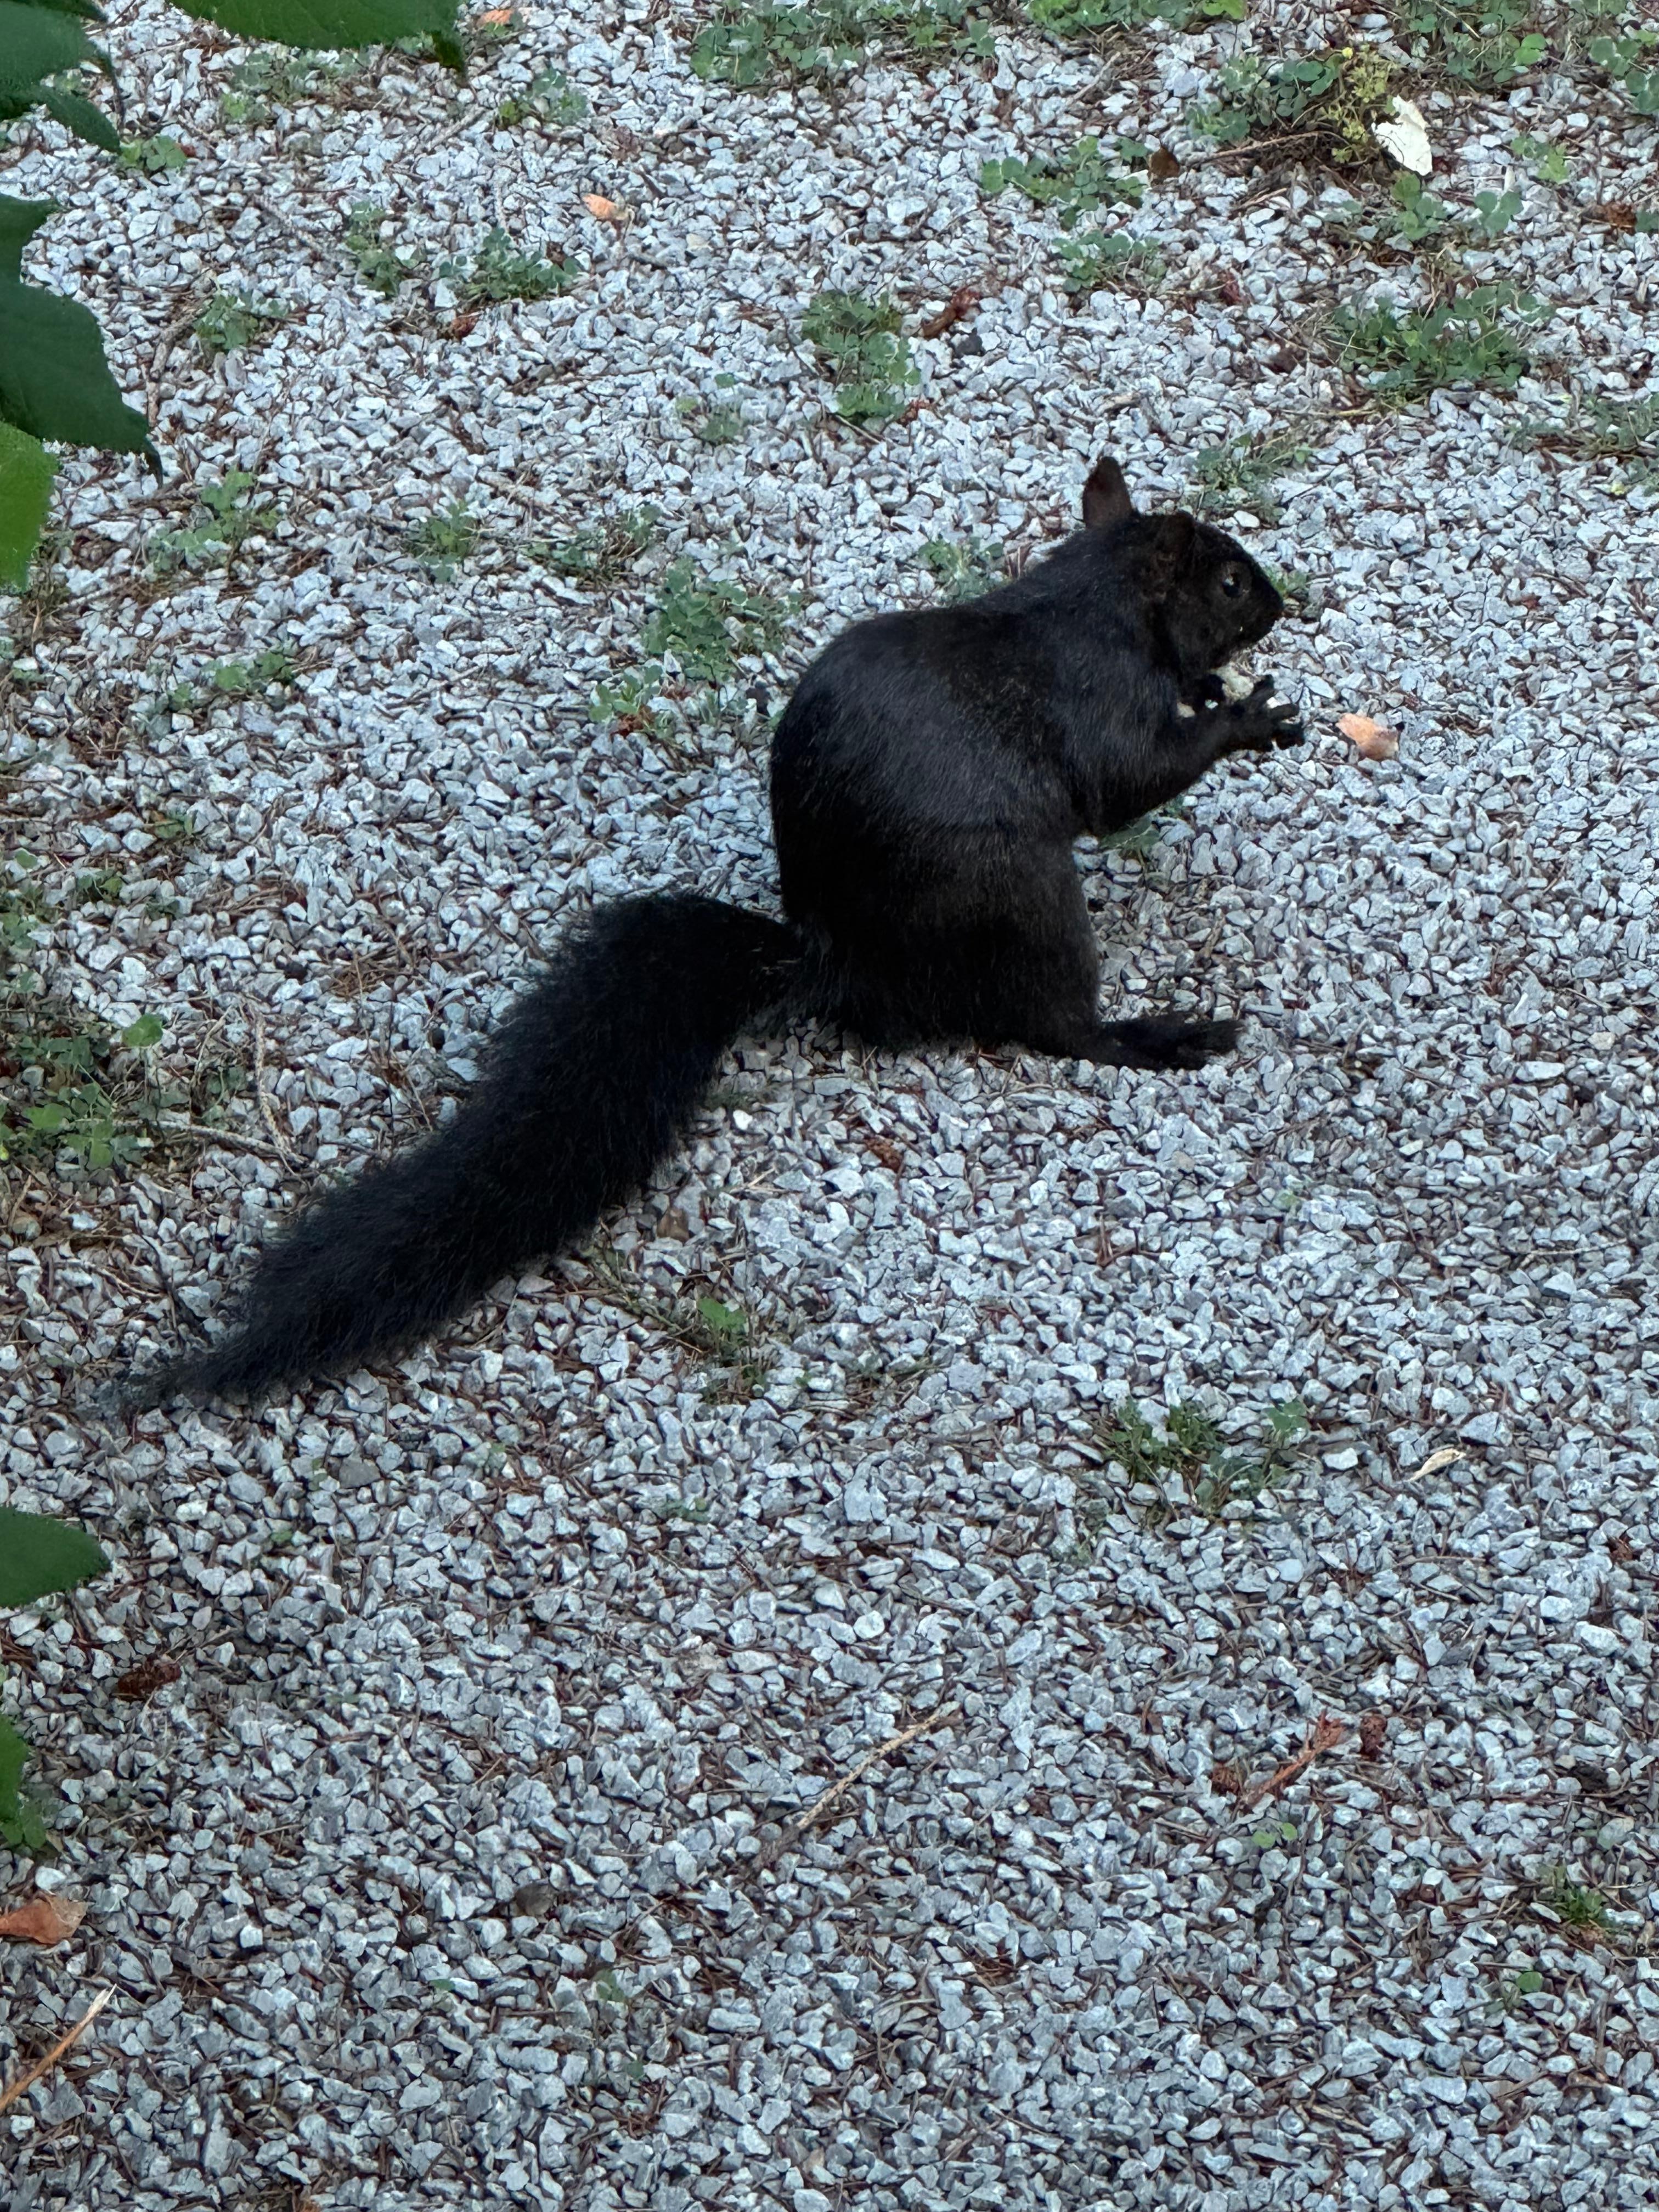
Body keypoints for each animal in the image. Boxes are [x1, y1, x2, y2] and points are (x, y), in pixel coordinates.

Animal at [131, 452, 1303, 1406]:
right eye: (1227, 581)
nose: (1281, 603)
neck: (1094, 603)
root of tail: (838, 963)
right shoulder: (1097, 701)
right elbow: (1129, 781)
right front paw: (1246, 716)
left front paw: (1223, 691)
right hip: (1021, 899)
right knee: (1054, 1023)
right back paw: (1156, 1034)